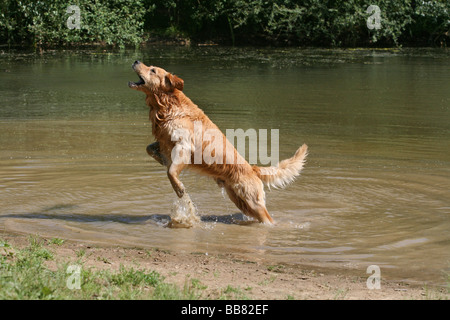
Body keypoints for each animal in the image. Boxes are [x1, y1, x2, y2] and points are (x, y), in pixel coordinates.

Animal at [128, 60, 308, 225]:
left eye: (152, 70)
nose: (136, 61)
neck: (167, 106)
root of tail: (252, 169)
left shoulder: (184, 146)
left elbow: (171, 172)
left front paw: (179, 189)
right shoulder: (164, 140)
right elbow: (149, 148)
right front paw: (161, 159)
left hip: (252, 201)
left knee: (267, 218)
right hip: (239, 200)